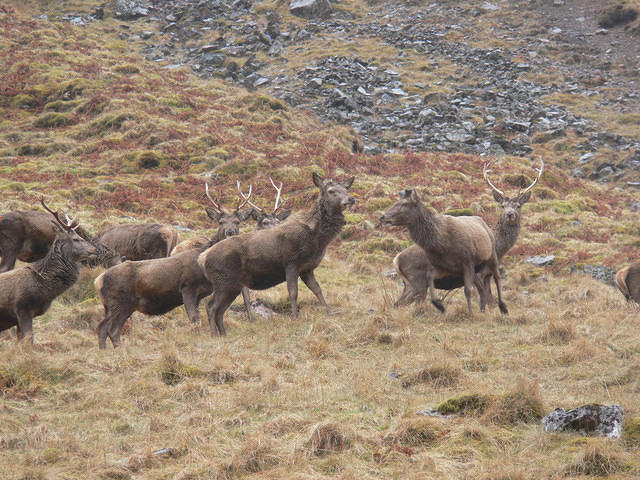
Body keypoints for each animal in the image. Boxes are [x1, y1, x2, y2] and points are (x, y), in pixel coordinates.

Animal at [95, 184, 255, 348]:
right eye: (221, 221)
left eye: (237, 221)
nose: (230, 232)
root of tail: (98, 281)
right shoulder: (187, 286)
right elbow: (193, 317)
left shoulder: (199, 294)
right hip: (119, 303)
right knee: (109, 329)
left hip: (116, 306)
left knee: (105, 328)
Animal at [198, 174, 356, 336]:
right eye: (331, 191)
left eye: (346, 188)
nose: (350, 199)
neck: (316, 240)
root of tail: (202, 258)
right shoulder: (291, 262)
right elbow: (293, 292)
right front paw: (295, 318)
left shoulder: (307, 268)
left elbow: (317, 289)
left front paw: (329, 312)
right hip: (223, 281)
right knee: (211, 306)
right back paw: (214, 334)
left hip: (232, 285)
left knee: (220, 310)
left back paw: (223, 334)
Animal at [378, 188, 508, 316]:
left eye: (404, 204)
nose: (382, 217)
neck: (442, 244)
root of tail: (396, 260)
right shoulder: (445, 267)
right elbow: (430, 277)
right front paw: (440, 305)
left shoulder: (467, 262)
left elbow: (467, 290)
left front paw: (470, 313)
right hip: (414, 283)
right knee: (398, 303)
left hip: (492, 257)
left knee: (497, 278)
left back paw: (503, 307)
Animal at [392, 158, 544, 308]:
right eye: (502, 206)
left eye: (518, 206)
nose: (509, 214)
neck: (498, 248)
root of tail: (396, 259)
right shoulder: (479, 274)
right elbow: (486, 300)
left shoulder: (487, 275)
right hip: (417, 280)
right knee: (400, 303)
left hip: (410, 283)